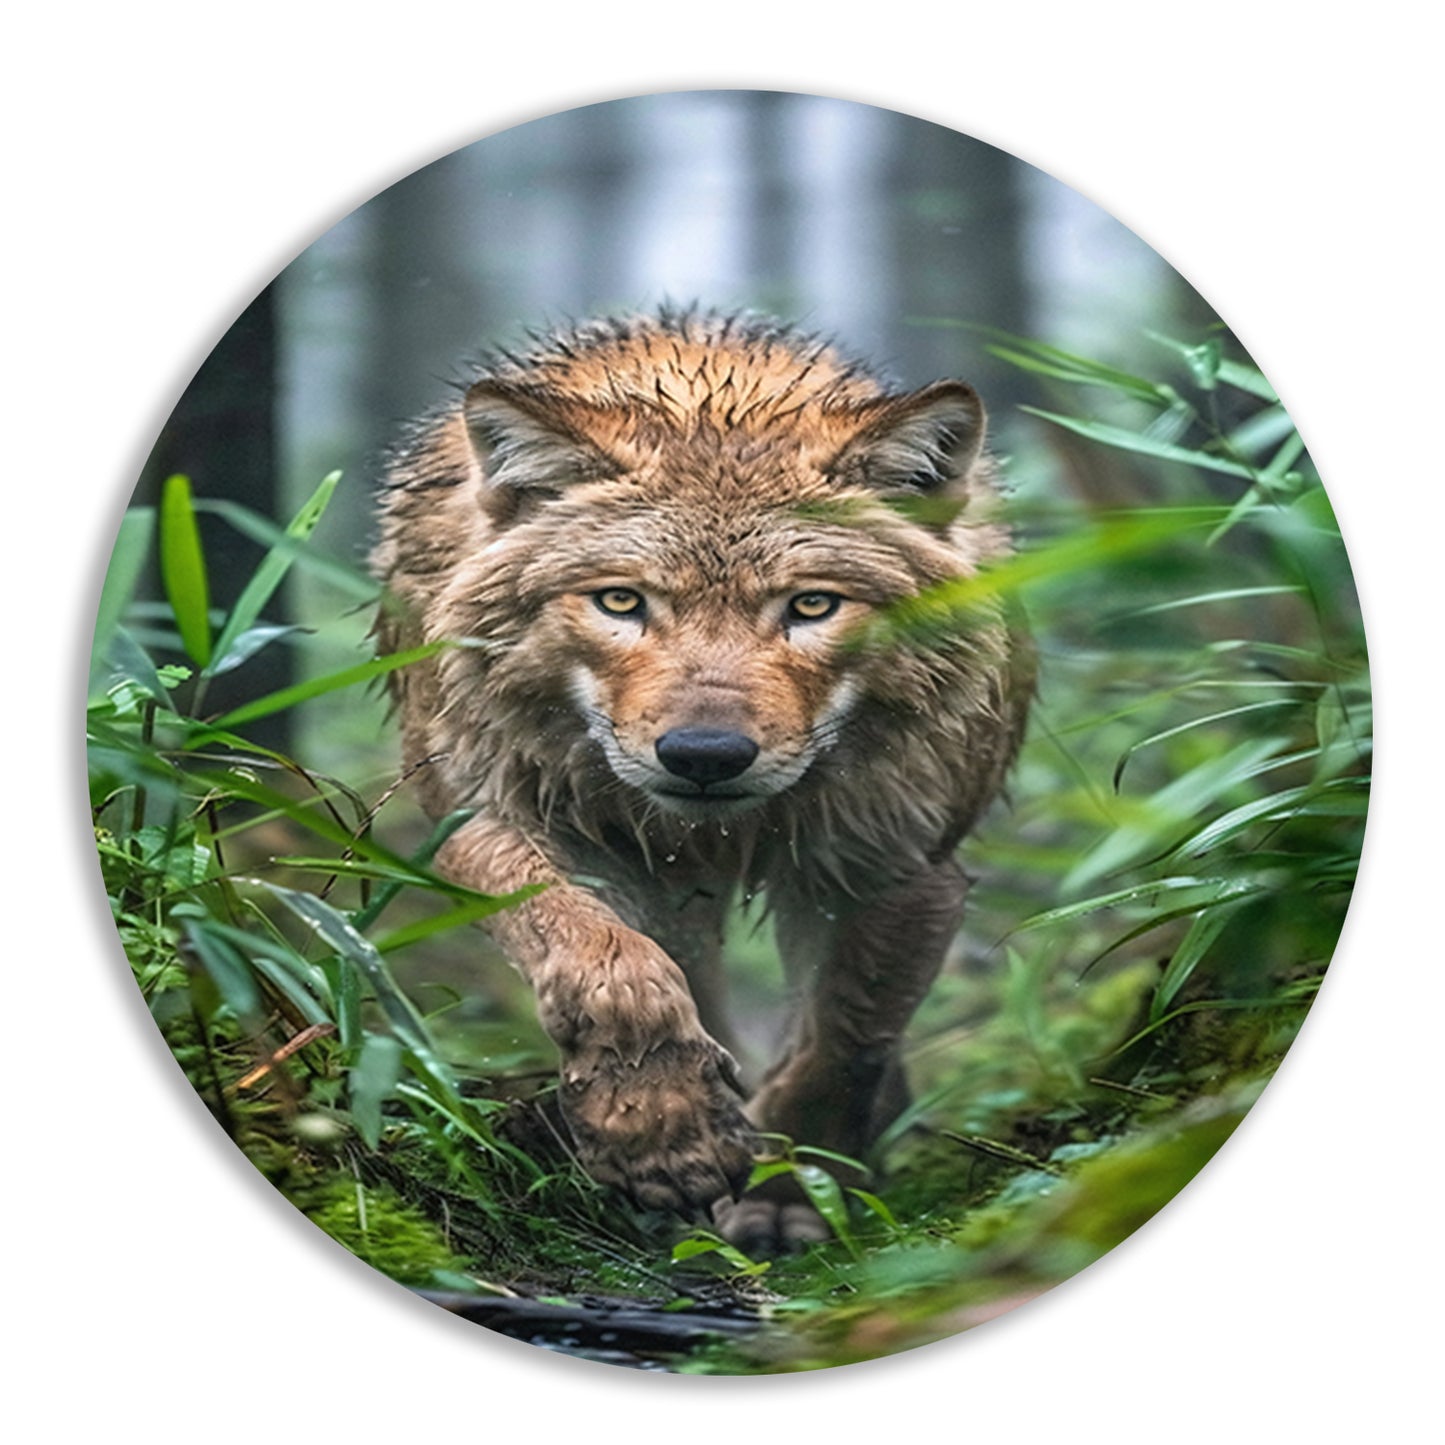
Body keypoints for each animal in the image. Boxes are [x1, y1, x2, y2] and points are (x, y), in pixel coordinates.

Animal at [373, 308, 1032, 1252]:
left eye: (810, 606)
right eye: (620, 602)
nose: (705, 754)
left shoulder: (897, 868)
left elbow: (838, 1042)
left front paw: (791, 1198)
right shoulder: (487, 817)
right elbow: (600, 965)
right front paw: (662, 1135)